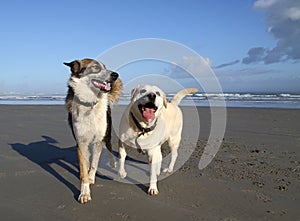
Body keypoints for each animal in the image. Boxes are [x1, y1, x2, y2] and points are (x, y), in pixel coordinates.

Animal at [64, 57, 122, 203]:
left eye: (105, 67)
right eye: (96, 67)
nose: (115, 75)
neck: (89, 104)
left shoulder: (98, 141)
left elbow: (95, 162)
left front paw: (91, 177)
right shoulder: (81, 143)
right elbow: (84, 169)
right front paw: (84, 193)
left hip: (107, 134)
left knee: (109, 147)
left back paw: (112, 163)